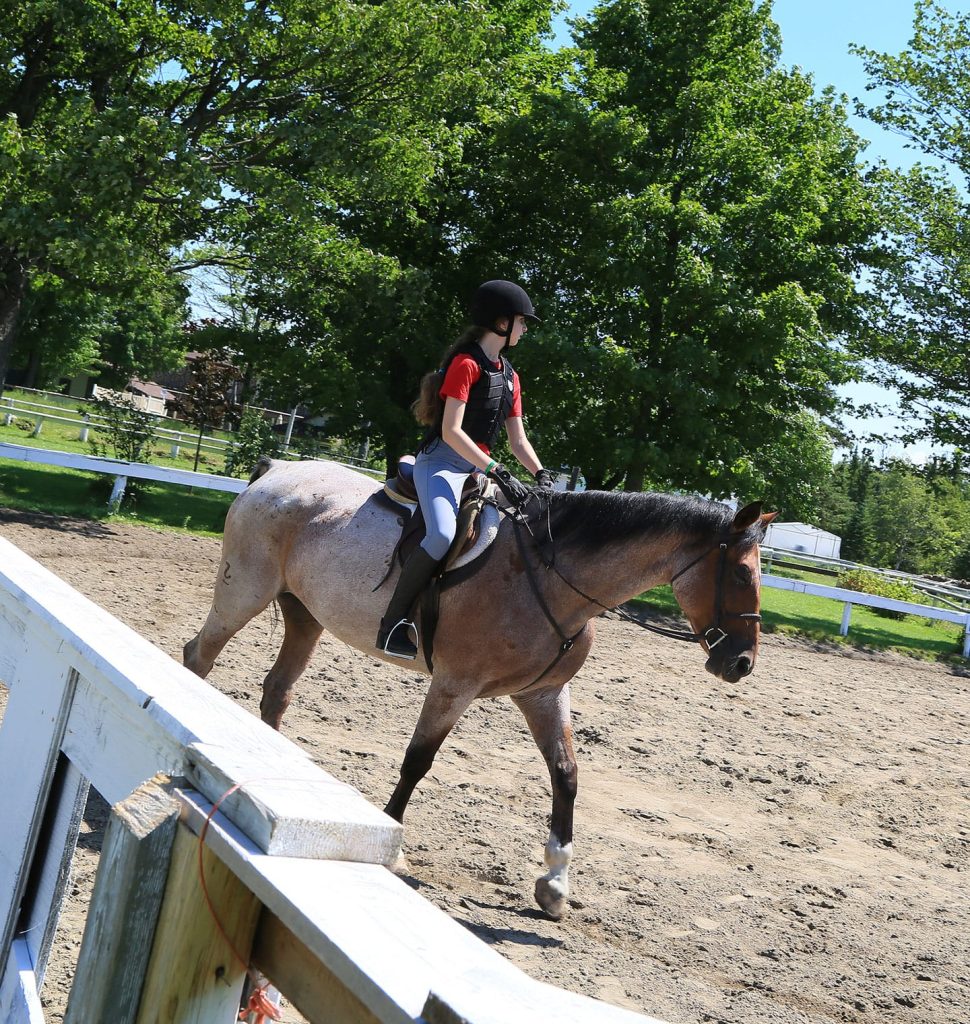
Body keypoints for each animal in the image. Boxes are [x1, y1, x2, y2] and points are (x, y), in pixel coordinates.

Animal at [183, 458, 776, 919]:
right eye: (742, 574)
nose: (742, 663)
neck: (552, 581)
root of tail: (278, 471)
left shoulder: (544, 694)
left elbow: (566, 775)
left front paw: (555, 884)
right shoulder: (454, 685)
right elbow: (417, 761)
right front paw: (394, 848)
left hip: (305, 615)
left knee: (277, 689)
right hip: (245, 593)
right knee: (199, 656)